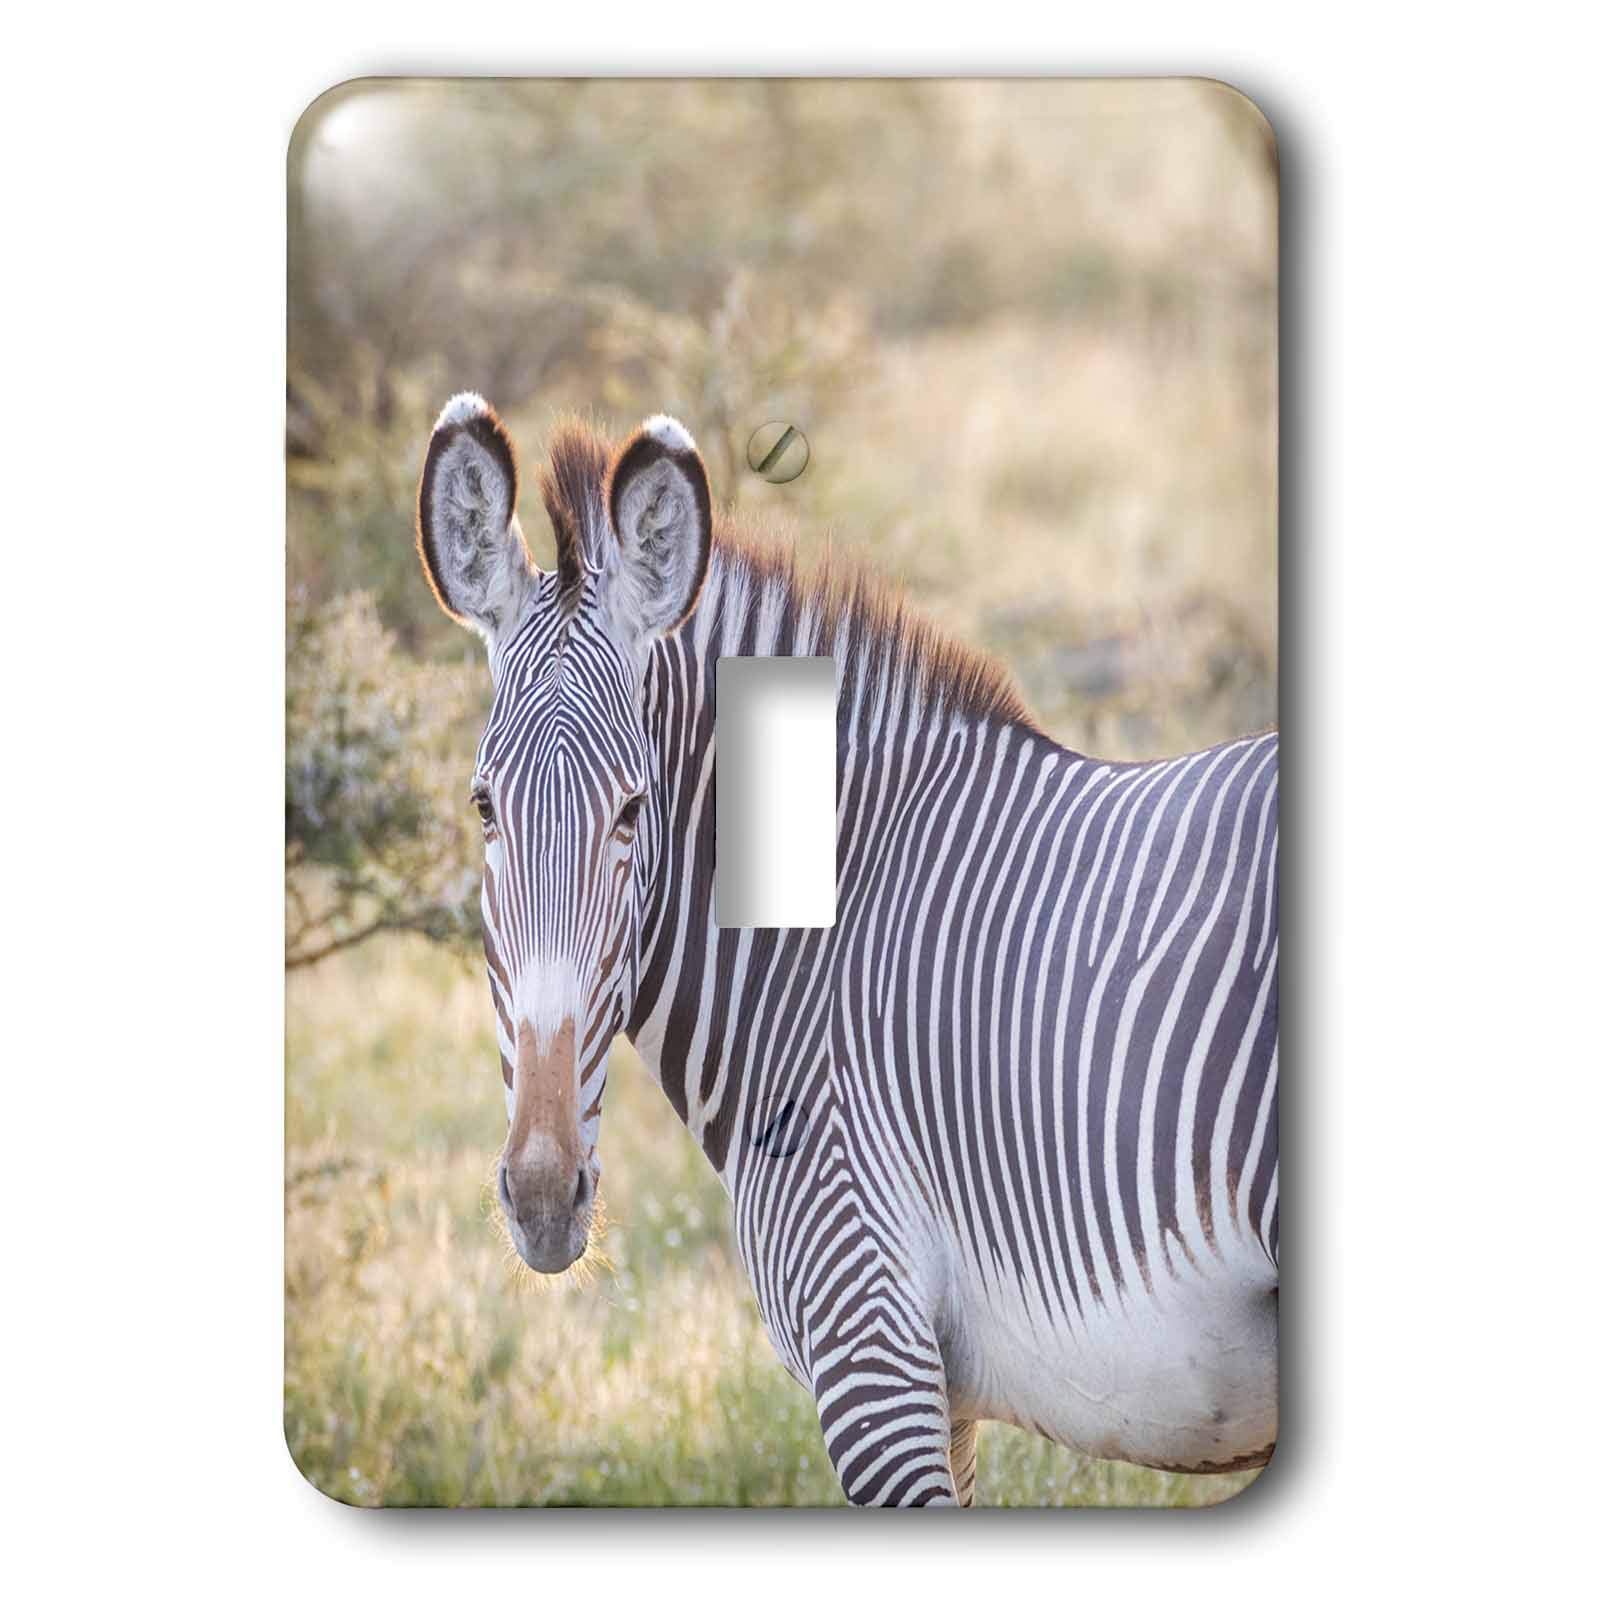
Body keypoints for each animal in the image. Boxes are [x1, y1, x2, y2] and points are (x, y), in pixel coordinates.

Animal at [413, 393, 1278, 1506]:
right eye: (483, 809)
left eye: (634, 811)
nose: (541, 1198)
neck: (818, 953)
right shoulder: (941, 1391)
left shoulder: (869, 1340)